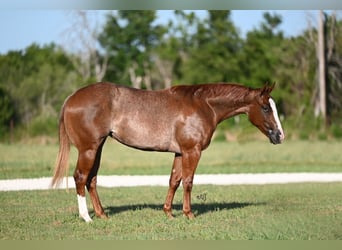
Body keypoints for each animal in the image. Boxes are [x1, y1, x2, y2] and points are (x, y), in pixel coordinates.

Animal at [51, 82, 284, 223]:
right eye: (265, 107)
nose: (280, 136)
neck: (204, 105)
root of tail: (71, 97)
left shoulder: (180, 153)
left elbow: (174, 180)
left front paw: (169, 212)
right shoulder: (192, 151)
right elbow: (188, 182)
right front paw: (189, 214)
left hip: (97, 148)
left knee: (91, 179)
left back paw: (101, 214)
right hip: (88, 149)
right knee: (80, 177)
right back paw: (86, 217)